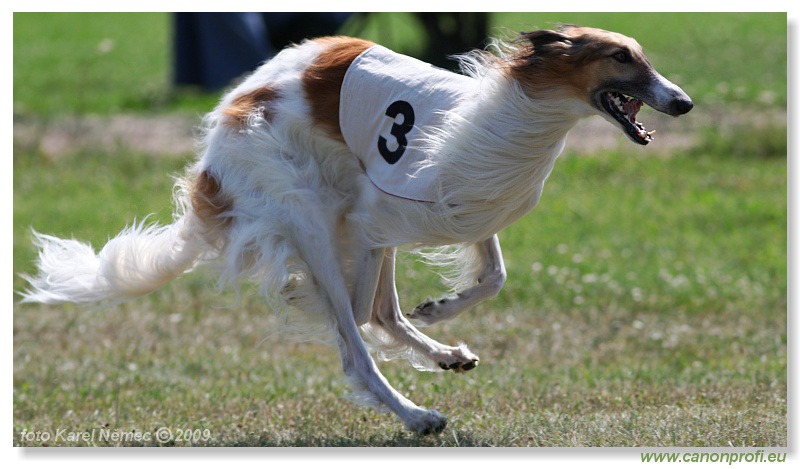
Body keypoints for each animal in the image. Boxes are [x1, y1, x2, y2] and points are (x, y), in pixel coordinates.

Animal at [21, 25, 692, 434]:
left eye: (643, 55)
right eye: (621, 57)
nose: (683, 102)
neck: (515, 119)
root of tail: (220, 135)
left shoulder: (468, 208)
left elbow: (492, 276)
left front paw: (441, 311)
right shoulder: (375, 220)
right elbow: (365, 319)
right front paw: (425, 341)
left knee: (379, 313)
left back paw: (444, 354)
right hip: (315, 219)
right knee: (355, 340)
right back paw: (415, 414)